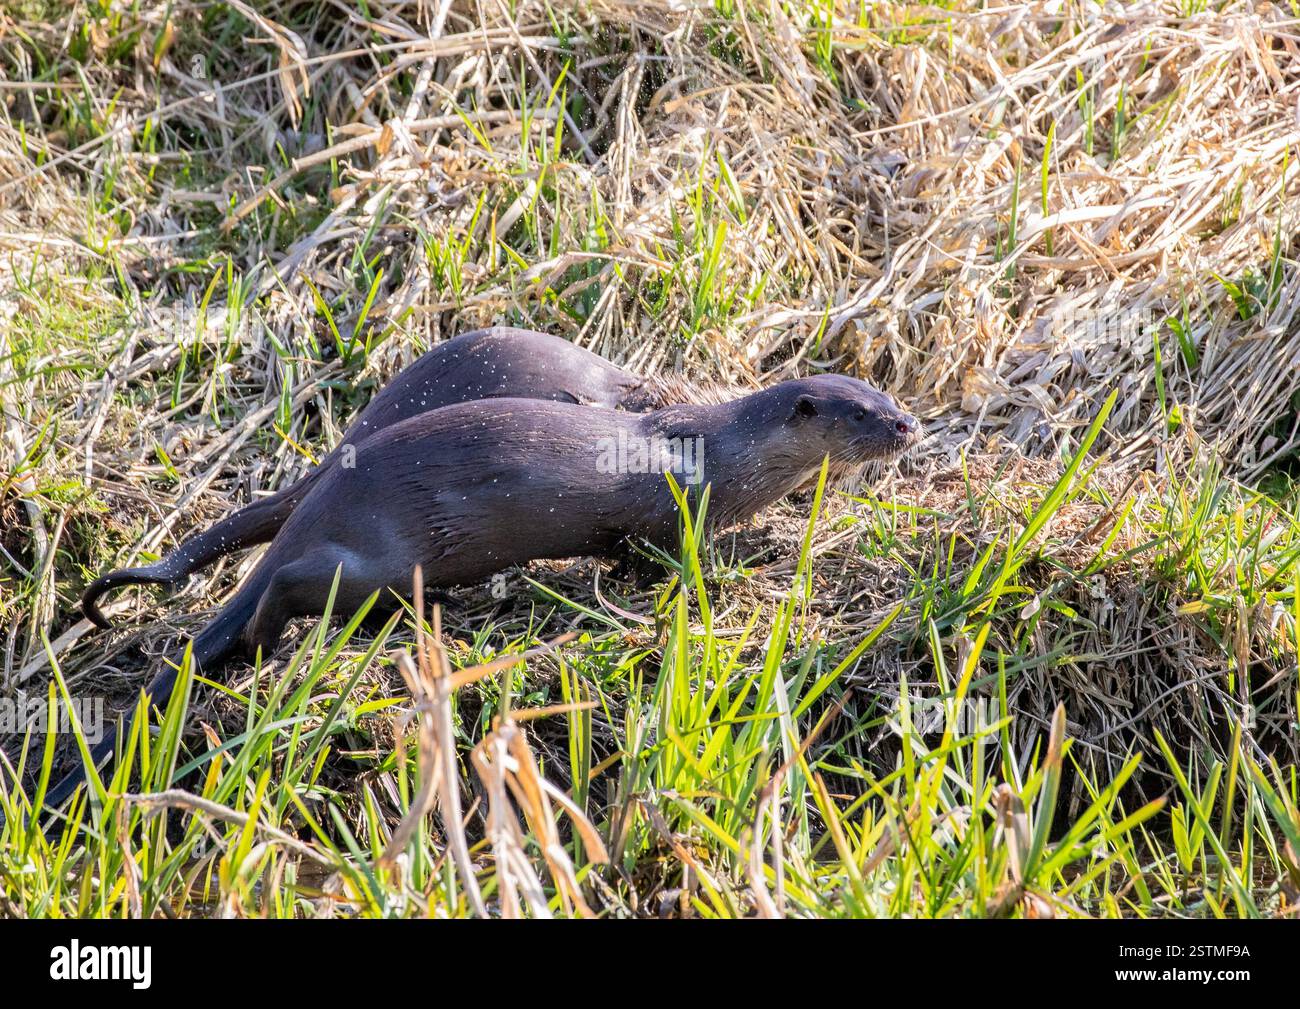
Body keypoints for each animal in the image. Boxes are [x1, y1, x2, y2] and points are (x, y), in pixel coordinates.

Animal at [48, 376, 916, 808]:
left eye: (885, 394)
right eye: (861, 412)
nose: (908, 424)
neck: (723, 455)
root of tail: (314, 506)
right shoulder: (666, 511)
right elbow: (661, 558)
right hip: (378, 560)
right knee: (292, 586)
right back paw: (267, 637)